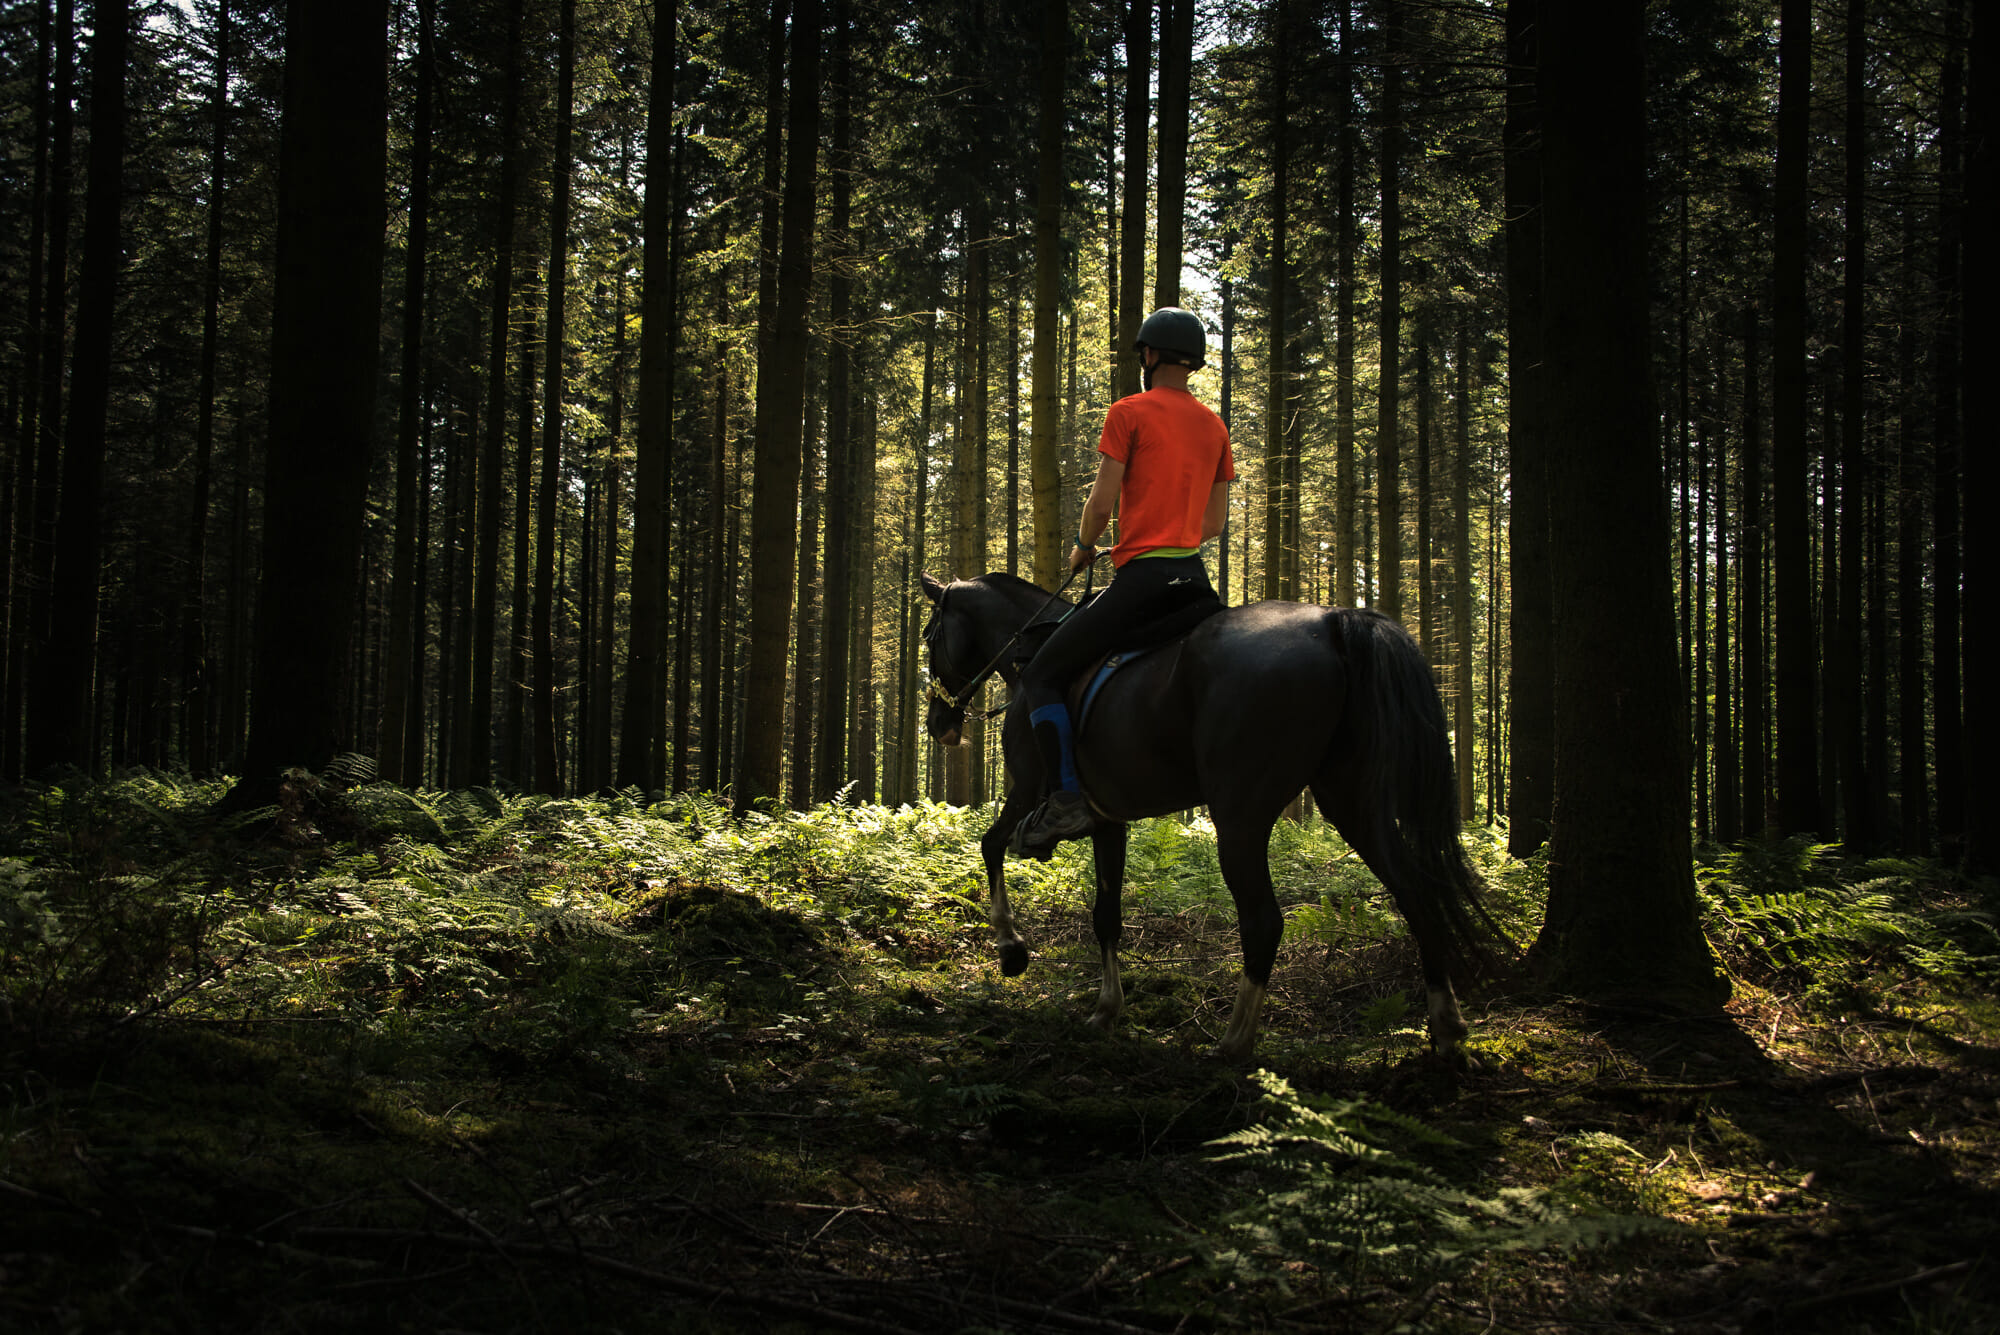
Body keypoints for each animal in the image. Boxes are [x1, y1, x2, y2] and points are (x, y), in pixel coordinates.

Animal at [916, 571, 1496, 1063]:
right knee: (1413, 891)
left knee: (1264, 920)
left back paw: (1234, 1042)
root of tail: (1332, 621)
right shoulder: (1109, 821)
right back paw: (1447, 1028)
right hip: (1350, 801)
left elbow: (990, 845)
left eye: (928, 636)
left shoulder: (1026, 789)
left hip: (1240, 813)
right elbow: (1106, 916)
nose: (938, 723)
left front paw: (1011, 949)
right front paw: (1106, 1009)